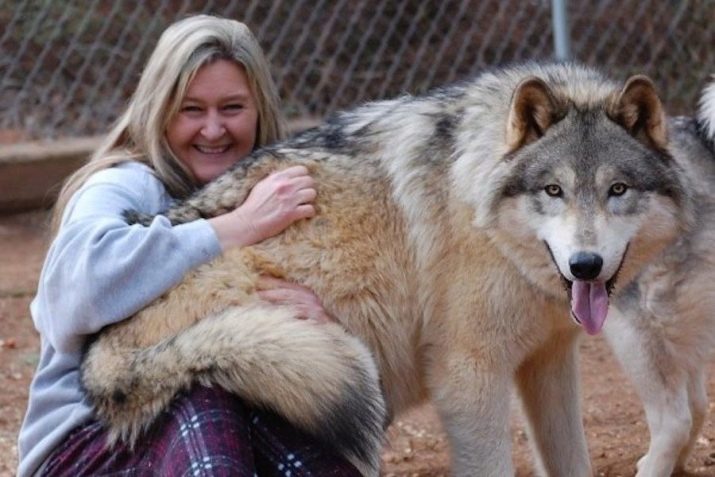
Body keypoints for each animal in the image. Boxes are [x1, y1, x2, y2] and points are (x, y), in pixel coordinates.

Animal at [79, 64, 688, 476]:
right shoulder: (468, 374)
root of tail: (98, 353)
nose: (586, 266)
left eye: (617, 190)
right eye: (553, 190)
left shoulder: (549, 361)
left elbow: (571, 460)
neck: (478, 207)